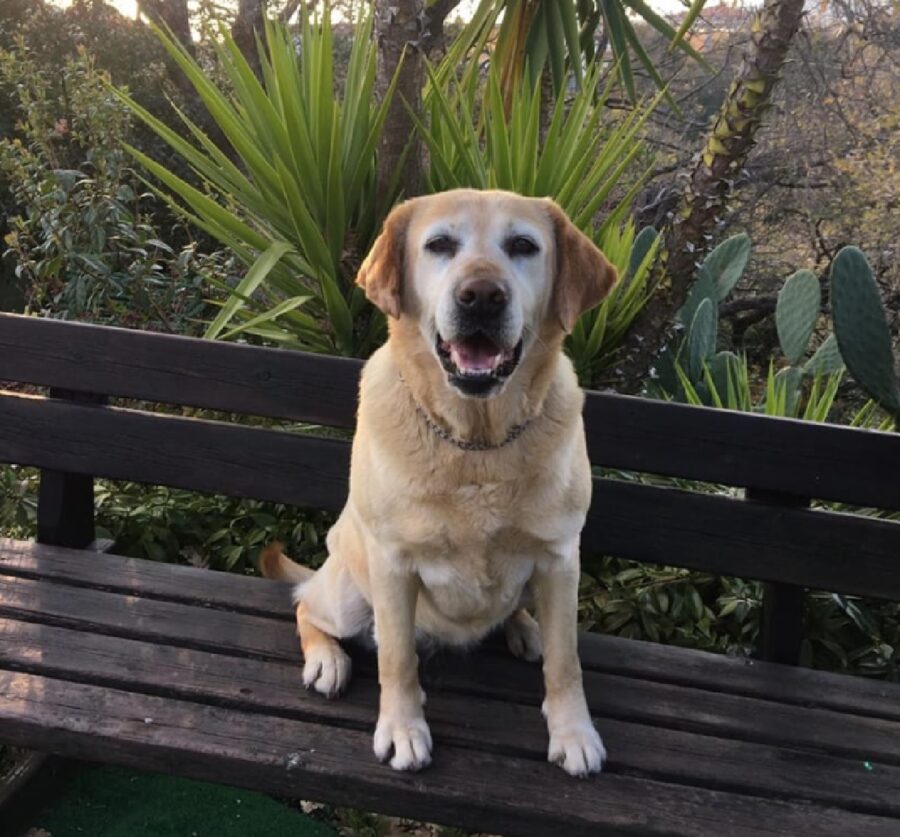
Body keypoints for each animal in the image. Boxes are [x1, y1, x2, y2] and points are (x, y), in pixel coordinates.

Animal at [266, 189, 620, 776]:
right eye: (439, 245)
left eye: (523, 246)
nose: (481, 297)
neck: (476, 444)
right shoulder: (392, 564)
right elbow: (396, 658)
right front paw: (403, 728)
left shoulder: (560, 557)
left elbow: (566, 660)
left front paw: (574, 732)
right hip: (349, 590)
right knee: (306, 606)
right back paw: (327, 659)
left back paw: (525, 628)